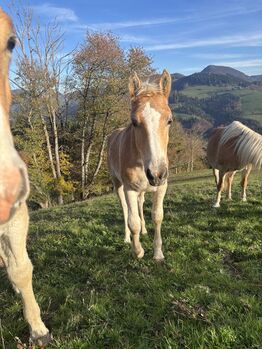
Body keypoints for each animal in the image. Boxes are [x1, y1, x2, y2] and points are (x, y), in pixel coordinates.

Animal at [107, 70, 173, 260]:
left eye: (169, 120)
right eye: (134, 122)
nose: (156, 174)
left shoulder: (161, 186)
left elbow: (157, 216)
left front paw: (158, 253)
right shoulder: (129, 189)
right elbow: (132, 221)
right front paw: (138, 251)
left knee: (140, 204)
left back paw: (144, 231)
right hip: (118, 184)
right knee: (125, 209)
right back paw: (127, 238)